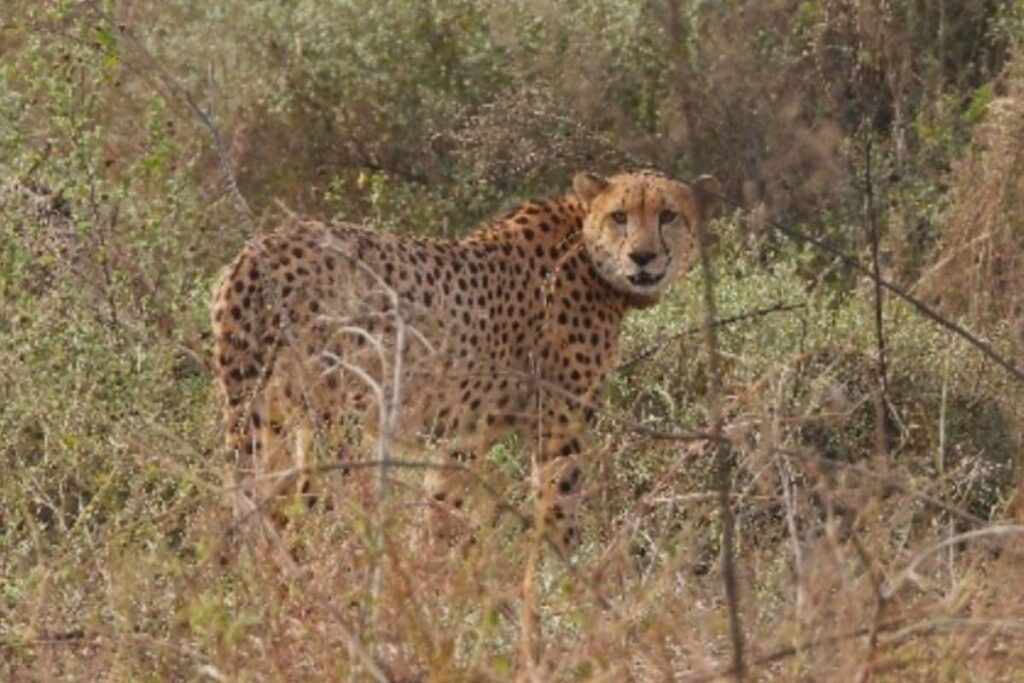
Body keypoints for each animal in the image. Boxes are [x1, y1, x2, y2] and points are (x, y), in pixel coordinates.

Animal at [210, 170, 721, 547]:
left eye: (668, 215)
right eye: (619, 216)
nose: (642, 257)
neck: (586, 248)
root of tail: (256, 251)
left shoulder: (465, 432)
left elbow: (442, 506)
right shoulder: (559, 420)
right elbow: (557, 504)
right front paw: (564, 581)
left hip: (268, 419)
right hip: (334, 421)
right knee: (309, 504)